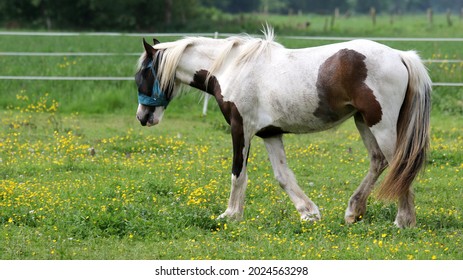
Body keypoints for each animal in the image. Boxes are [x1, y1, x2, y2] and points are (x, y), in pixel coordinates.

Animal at [134, 26, 432, 228]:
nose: (142, 117)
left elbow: (238, 173)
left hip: (380, 124)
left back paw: (403, 220)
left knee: (399, 165)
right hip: (364, 122)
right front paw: (309, 213)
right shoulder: (270, 133)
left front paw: (230, 215)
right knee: (379, 161)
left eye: (144, 74)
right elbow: (283, 177)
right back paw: (354, 212)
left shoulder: (241, 128)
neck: (232, 68)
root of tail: (401, 56)